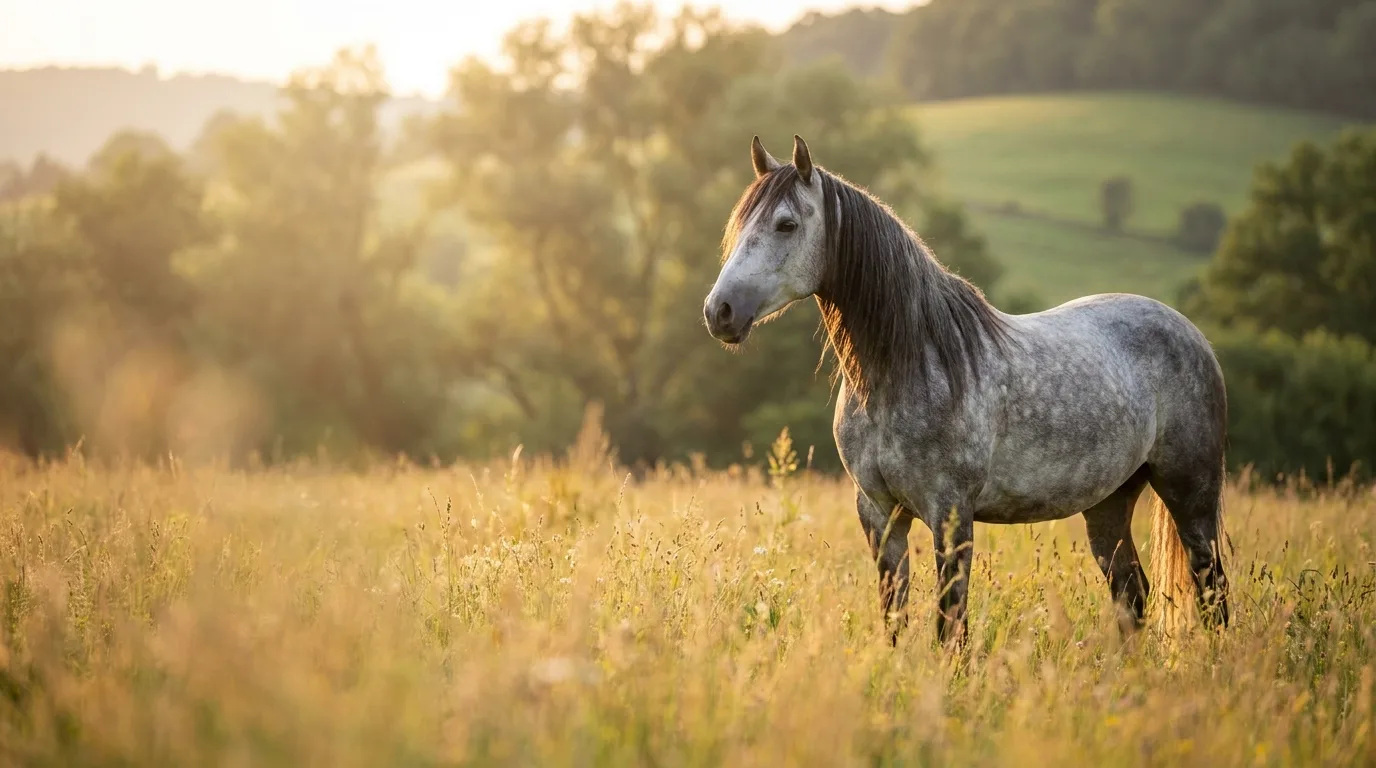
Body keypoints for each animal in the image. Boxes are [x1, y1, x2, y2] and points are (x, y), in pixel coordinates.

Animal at [703, 135, 1230, 645]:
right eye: (740, 223)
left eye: (786, 224)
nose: (719, 311)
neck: (906, 368)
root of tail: (1191, 334)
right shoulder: (879, 514)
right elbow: (894, 618)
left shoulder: (951, 514)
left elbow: (950, 626)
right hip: (1109, 503)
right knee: (1132, 594)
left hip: (1191, 495)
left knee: (1212, 594)